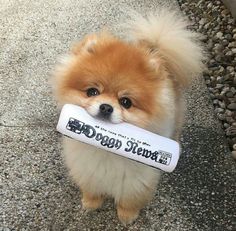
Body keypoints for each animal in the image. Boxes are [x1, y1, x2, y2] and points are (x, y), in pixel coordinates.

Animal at [52, 9, 205, 226]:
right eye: (92, 92)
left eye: (126, 102)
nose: (106, 107)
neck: (106, 148)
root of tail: (155, 47)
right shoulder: (86, 167)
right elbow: (91, 185)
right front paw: (91, 201)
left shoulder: (137, 178)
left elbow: (130, 197)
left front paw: (127, 215)